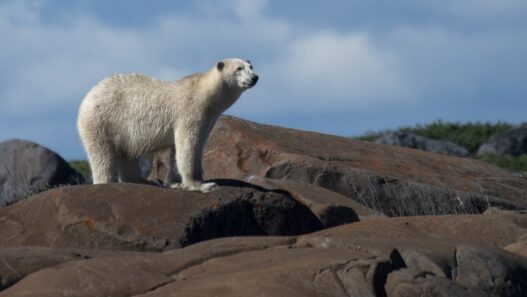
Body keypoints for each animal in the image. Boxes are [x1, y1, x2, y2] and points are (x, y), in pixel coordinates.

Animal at [77, 57, 258, 192]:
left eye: (251, 66)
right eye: (239, 68)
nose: (255, 77)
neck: (204, 93)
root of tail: (87, 98)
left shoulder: (208, 119)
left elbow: (178, 150)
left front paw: (176, 183)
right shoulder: (190, 112)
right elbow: (188, 146)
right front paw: (202, 185)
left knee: (127, 155)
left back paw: (145, 181)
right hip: (102, 122)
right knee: (102, 155)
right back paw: (107, 181)